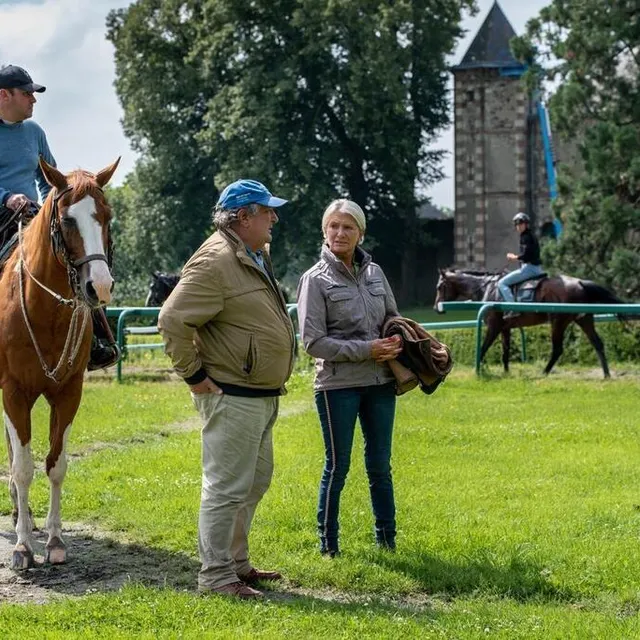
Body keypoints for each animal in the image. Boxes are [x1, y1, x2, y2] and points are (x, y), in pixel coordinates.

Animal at [0, 157, 119, 570]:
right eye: (67, 220)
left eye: (107, 216)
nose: (100, 287)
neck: (45, 310)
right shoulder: (14, 393)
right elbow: (23, 467)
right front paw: (22, 548)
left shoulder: (68, 392)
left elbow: (55, 464)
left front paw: (53, 540)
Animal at [434, 268, 624, 377]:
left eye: (439, 286)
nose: (436, 308)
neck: (488, 288)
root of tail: (579, 282)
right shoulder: (505, 328)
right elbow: (505, 352)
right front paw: (506, 373)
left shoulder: (494, 326)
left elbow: (483, 348)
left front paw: (476, 370)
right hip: (583, 319)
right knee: (597, 343)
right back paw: (606, 374)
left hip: (558, 322)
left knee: (557, 349)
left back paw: (544, 372)